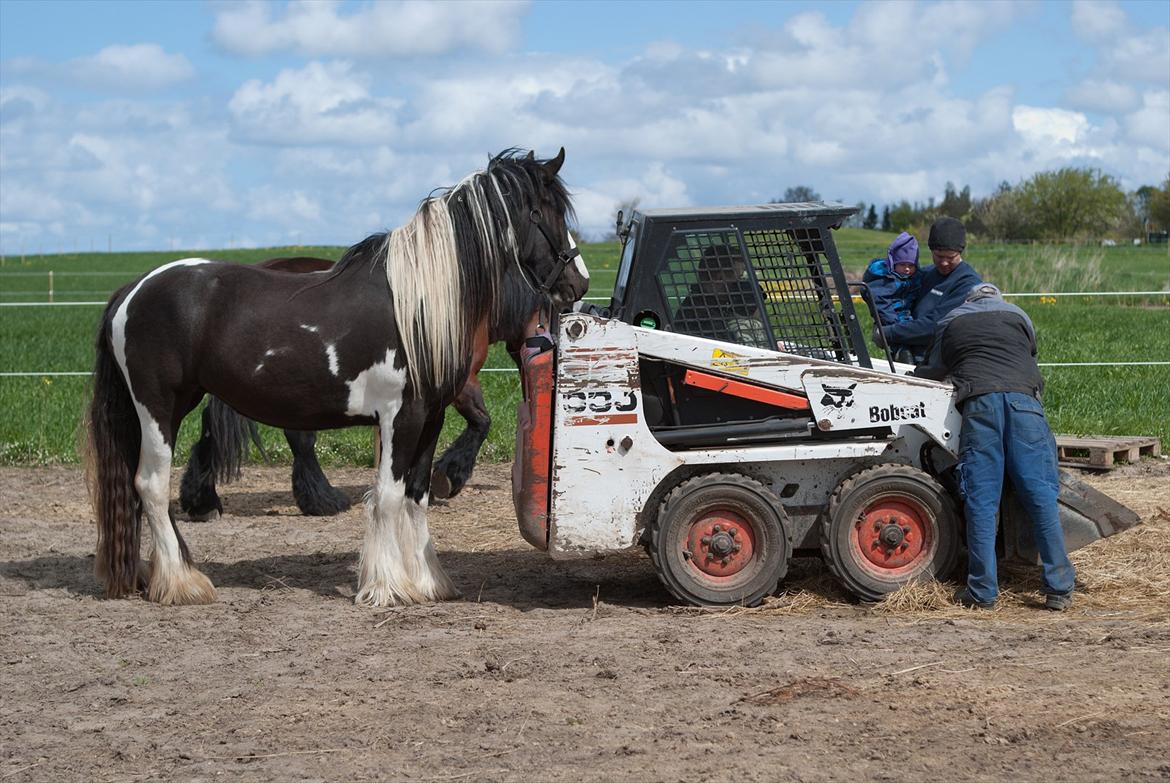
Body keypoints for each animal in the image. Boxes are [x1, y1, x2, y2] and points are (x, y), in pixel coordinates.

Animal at [86, 149, 589, 608]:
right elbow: (388, 495)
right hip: (159, 407)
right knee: (151, 486)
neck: (418, 304)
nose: (578, 283)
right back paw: (181, 583)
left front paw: (429, 582)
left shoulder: (432, 418)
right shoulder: (400, 416)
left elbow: (417, 495)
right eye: (546, 211)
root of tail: (132, 290)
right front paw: (387, 587)